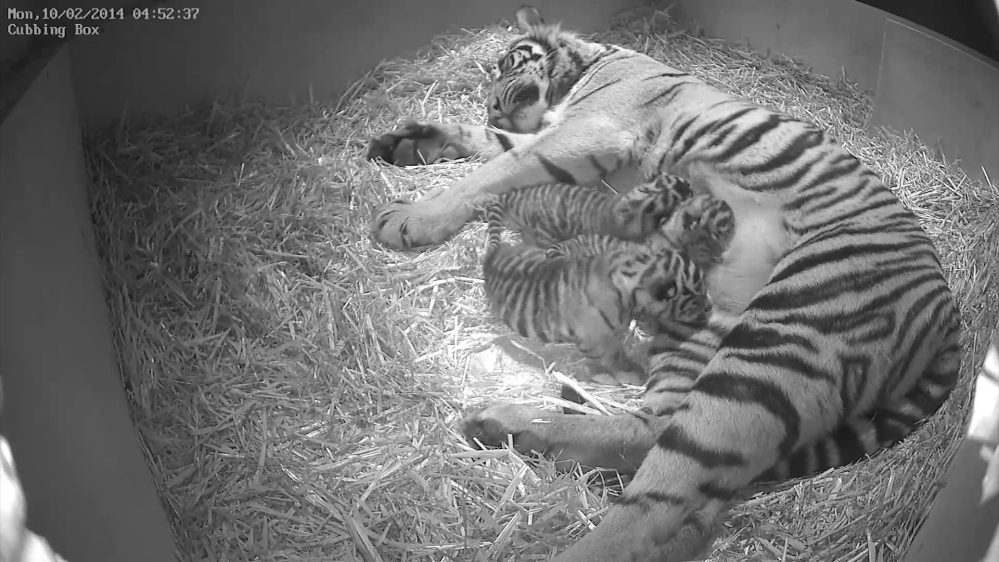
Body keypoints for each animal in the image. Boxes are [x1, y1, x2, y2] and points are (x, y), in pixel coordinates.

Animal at [366, 6, 960, 556]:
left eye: (506, 63)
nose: (490, 101)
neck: (588, 64)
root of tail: (949, 310)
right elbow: (495, 144)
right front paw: (406, 141)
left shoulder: (584, 131)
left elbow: (489, 171)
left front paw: (408, 217)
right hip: (705, 328)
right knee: (659, 435)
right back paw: (509, 426)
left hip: (783, 339)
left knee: (668, 488)